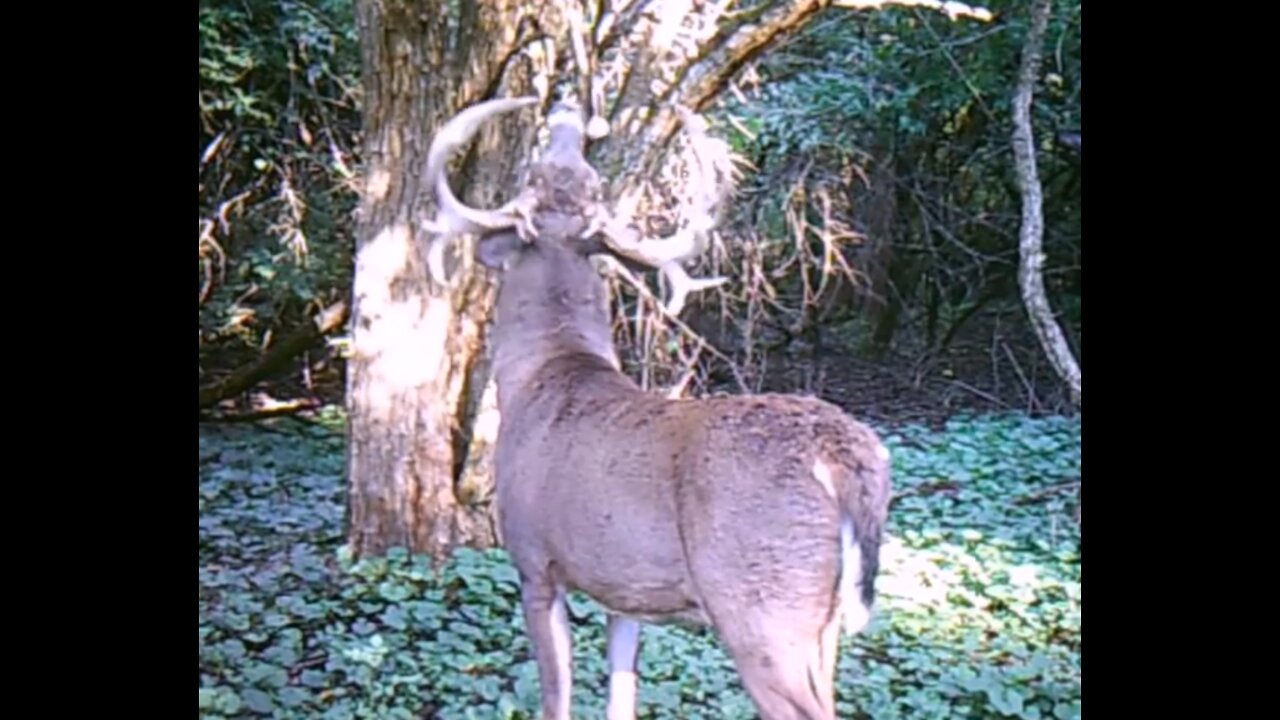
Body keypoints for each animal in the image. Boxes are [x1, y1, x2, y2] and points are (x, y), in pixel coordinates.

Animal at [424, 96, 896, 717]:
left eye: (534, 173)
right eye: (569, 172)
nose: (569, 110)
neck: (541, 371)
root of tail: (845, 456)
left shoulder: (534, 561)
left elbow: (557, 696)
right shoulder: (624, 590)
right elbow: (620, 697)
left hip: (764, 607)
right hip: (825, 621)